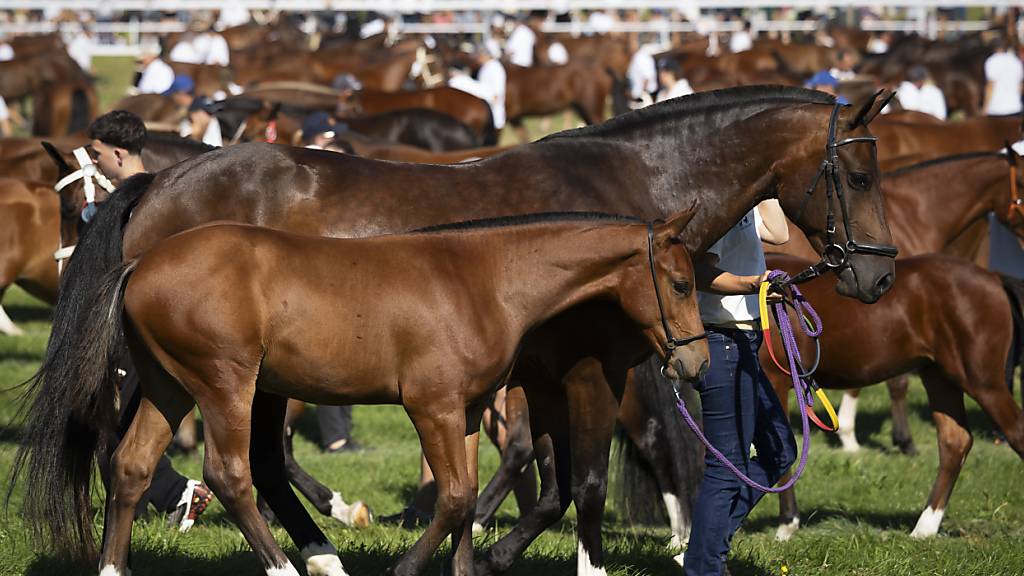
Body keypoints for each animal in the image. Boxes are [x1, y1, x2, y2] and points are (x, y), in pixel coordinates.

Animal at [54, 207, 712, 573]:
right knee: (231, 474)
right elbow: (453, 498)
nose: (698, 363)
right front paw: (403, 568)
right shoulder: (432, 407)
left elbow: (467, 499)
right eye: (680, 283)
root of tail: (140, 264)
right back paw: (292, 567)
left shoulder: (467, 412)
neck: (481, 280)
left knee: (131, 466)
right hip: (225, 385)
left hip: (169, 386)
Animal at [761, 252, 1024, 537]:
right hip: (939, 377)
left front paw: (787, 523)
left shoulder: (774, 382)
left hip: (984, 383)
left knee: (1014, 433)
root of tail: (995, 278)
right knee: (955, 442)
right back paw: (924, 529)